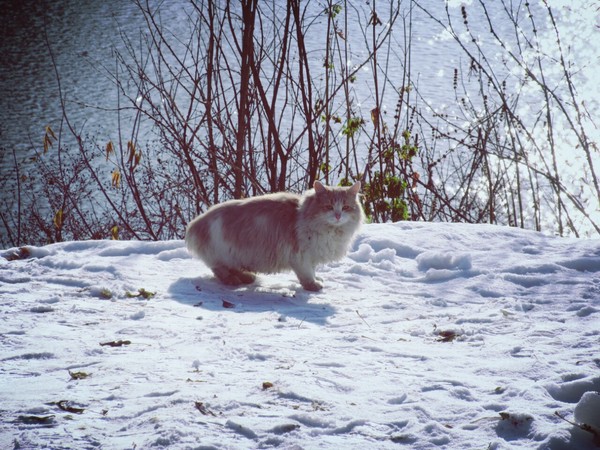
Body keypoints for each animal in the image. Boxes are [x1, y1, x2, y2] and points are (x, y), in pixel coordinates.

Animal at [185, 180, 364, 292]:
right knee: (219, 270)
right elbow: (307, 275)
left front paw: (317, 279)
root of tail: (195, 223)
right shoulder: (301, 257)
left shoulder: (311, 256)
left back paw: (247, 277)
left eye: (346, 207)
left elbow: (312, 271)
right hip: (222, 254)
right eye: (328, 207)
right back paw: (233, 280)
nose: (338, 216)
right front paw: (313, 285)